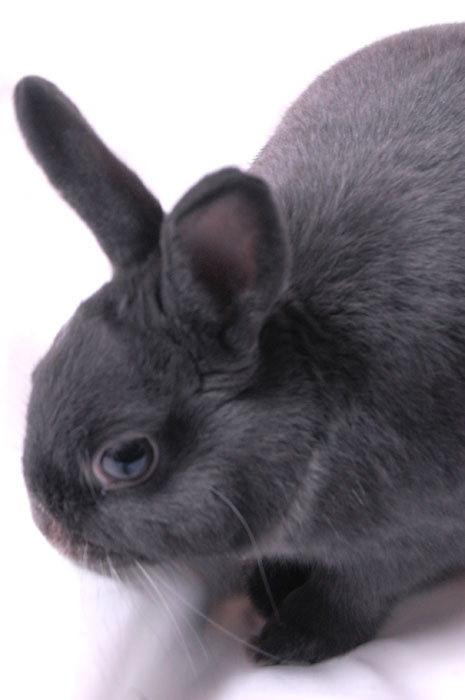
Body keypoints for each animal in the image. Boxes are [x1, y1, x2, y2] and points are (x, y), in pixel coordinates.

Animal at [17, 21, 465, 664]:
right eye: (39, 375)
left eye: (126, 459)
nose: (48, 527)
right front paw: (265, 588)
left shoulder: (411, 540)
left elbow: (352, 589)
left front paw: (291, 641)